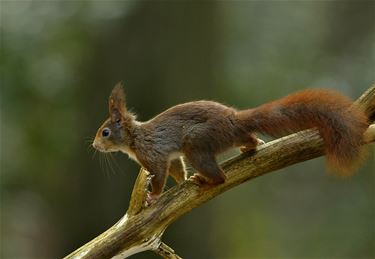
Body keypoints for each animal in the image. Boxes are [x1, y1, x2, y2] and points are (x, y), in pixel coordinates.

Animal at [92, 83, 368, 205]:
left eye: (105, 132)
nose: (94, 146)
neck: (134, 138)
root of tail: (233, 119)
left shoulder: (153, 154)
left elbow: (159, 175)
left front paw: (153, 196)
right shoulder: (172, 157)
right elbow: (177, 169)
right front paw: (180, 184)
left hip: (196, 143)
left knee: (221, 177)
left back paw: (207, 180)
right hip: (223, 139)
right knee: (249, 140)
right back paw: (251, 145)